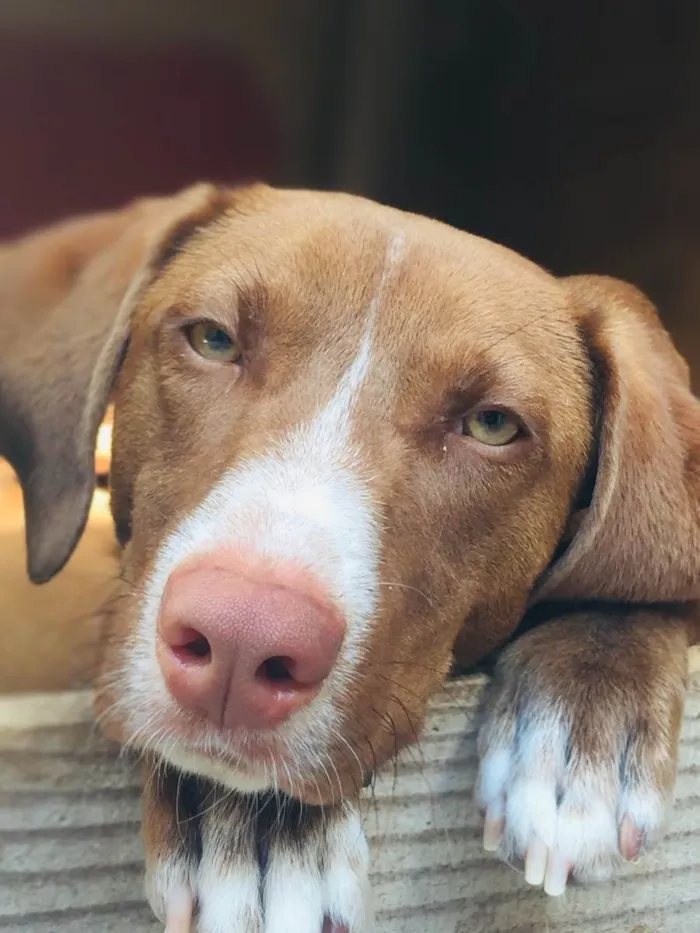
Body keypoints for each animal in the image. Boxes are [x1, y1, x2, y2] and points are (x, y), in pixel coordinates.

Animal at [1, 184, 700, 932]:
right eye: (213, 338)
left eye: (492, 424)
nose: (243, 641)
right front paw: (247, 823)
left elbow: (629, 584)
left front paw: (584, 715)